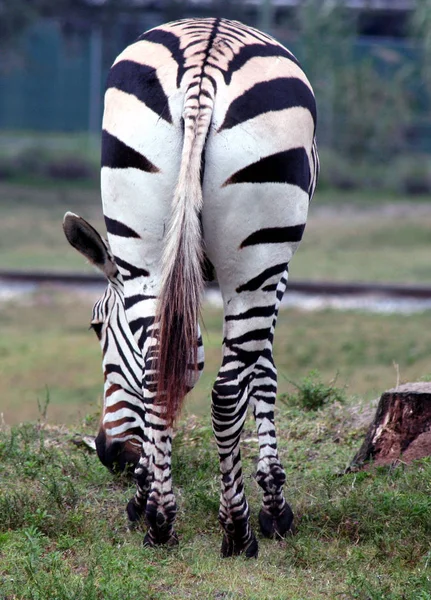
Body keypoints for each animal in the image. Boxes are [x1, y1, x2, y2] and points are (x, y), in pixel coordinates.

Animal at [62, 16, 318, 556]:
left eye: (96, 328)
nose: (108, 454)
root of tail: (206, 57)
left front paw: (144, 498)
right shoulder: (278, 271)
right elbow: (263, 369)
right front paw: (274, 505)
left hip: (142, 237)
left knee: (157, 374)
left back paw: (160, 522)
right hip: (261, 252)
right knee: (224, 391)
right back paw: (238, 530)